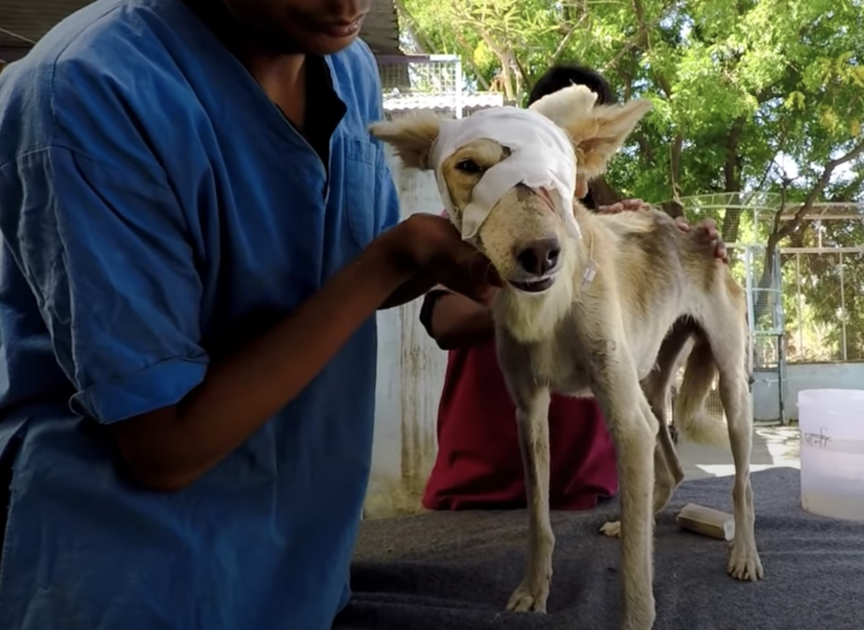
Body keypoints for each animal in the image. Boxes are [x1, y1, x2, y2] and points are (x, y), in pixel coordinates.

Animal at [370, 85, 764, 630]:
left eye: (555, 174)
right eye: (469, 166)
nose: (541, 254)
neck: (550, 307)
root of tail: (691, 232)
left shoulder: (625, 421)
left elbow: (634, 567)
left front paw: (636, 617)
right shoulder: (530, 410)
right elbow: (539, 519)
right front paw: (533, 591)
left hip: (727, 387)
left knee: (742, 485)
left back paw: (744, 554)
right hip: (649, 387)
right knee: (671, 471)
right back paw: (634, 519)